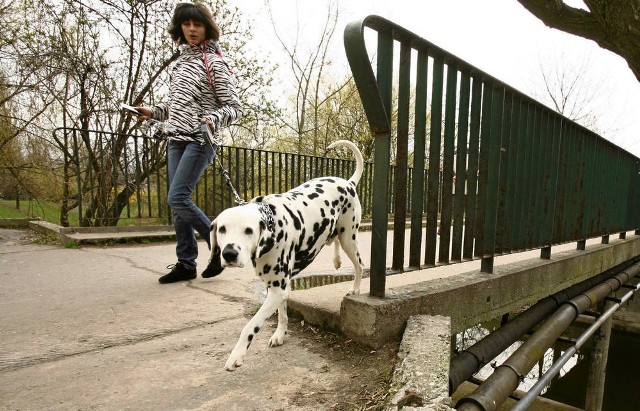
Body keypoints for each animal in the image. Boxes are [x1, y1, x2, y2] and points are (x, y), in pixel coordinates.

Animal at [206, 140, 364, 372]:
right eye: (222, 229)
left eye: (248, 230)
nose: (229, 253)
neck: (272, 222)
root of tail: (349, 183)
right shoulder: (278, 288)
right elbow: (282, 314)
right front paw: (280, 334)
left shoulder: (277, 290)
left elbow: (250, 326)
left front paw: (237, 355)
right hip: (339, 234)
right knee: (334, 240)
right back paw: (336, 260)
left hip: (349, 239)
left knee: (359, 265)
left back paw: (355, 288)